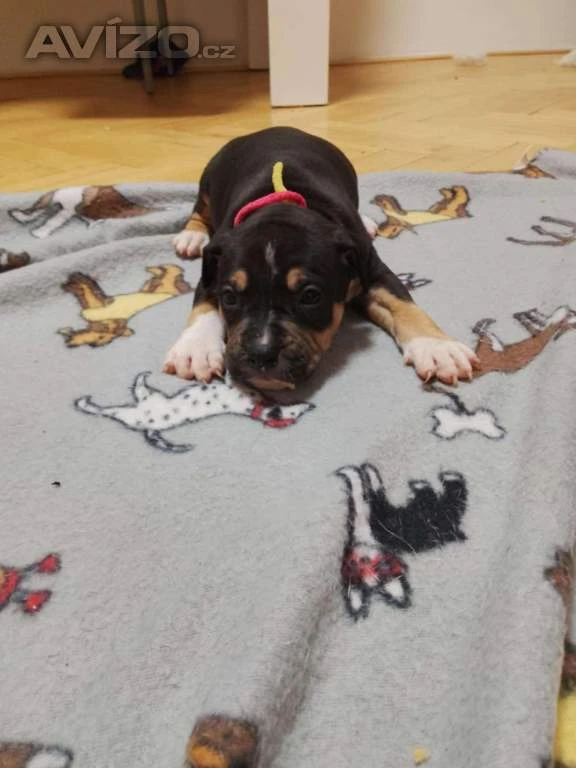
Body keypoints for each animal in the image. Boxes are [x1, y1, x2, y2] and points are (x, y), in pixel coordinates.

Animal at [164, 127, 478, 392]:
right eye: (229, 297)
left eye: (311, 297)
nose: (260, 355)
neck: (283, 207)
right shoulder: (212, 268)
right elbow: (204, 305)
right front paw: (195, 348)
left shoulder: (373, 269)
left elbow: (402, 303)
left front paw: (437, 347)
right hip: (209, 179)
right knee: (199, 208)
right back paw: (191, 235)